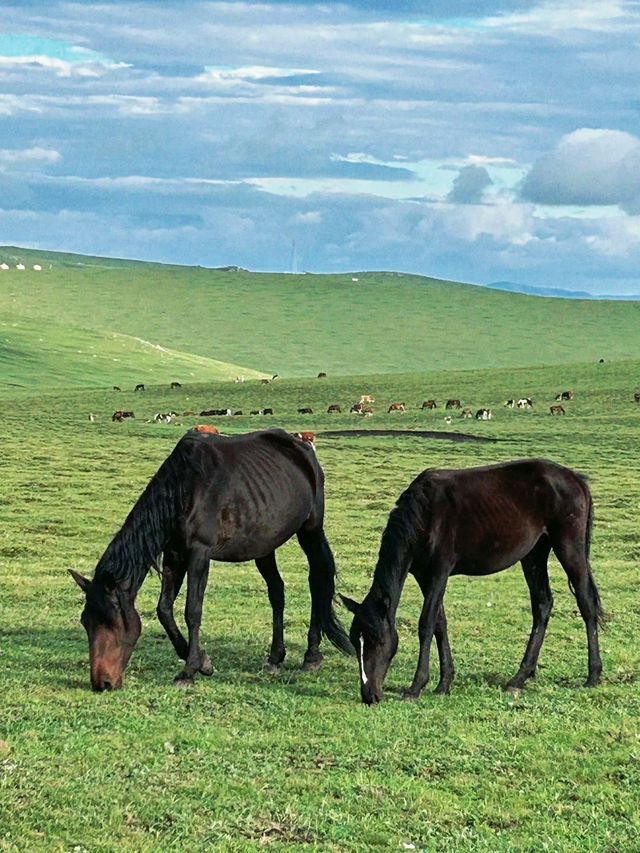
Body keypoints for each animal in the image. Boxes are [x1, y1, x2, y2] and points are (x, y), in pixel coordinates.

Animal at [70, 430, 356, 688]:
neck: (183, 488)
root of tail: (304, 448)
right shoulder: (174, 554)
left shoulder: (200, 553)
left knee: (317, 582)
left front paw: (188, 672)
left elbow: (192, 610)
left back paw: (311, 656)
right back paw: (275, 657)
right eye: (86, 622)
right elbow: (164, 609)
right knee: (277, 591)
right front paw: (202, 661)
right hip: (264, 544)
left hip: (310, 531)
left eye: (112, 622)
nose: (102, 683)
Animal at [342, 462, 604, 704]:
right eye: (355, 640)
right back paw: (519, 678)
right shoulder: (423, 576)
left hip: (568, 547)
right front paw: (444, 683)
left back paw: (593, 675)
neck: (425, 514)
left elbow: (426, 624)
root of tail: (576, 479)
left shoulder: (439, 572)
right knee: (542, 605)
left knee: (586, 603)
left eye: (378, 642)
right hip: (534, 554)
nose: (369, 695)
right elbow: (440, 623)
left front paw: (415, 687)